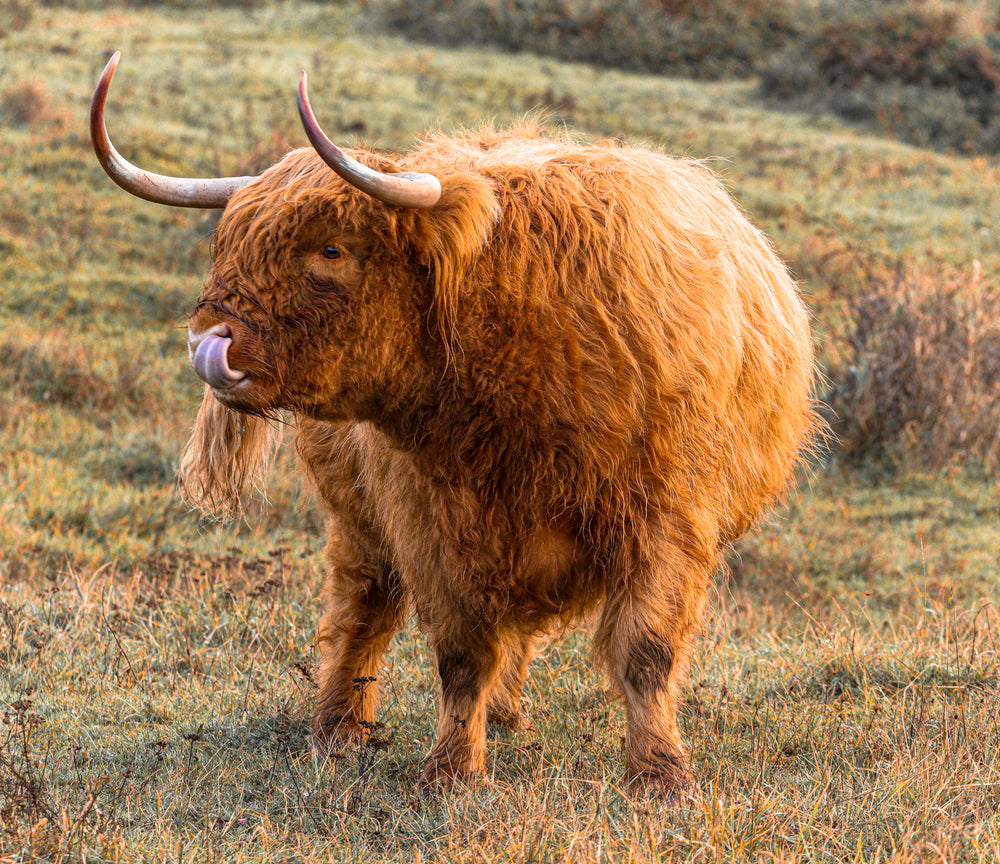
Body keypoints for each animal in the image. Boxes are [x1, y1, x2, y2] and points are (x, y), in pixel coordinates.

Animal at [90, 52, 816, 796]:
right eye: (227, 241)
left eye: (331, 250)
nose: (208, 341)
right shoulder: (431, 521)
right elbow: (462, 653)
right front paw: (452, 772)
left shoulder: (667, 519)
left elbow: (646, 650)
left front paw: (660, 775)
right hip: (357, 514)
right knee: (362, 605)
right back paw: (338, 727)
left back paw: (503, 715)